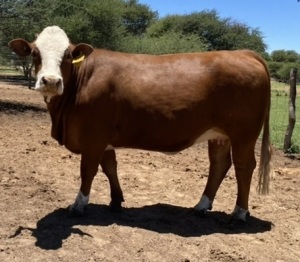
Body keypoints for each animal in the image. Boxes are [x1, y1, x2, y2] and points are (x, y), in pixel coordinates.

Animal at [8, 25, 272, 223]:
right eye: (35, 53)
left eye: (68, 54)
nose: (51, 81)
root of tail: (244, 53)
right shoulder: (104, 138)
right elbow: (110, 167)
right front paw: (116, 201)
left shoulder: (93, 136)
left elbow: (88, 171)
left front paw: (79, 205)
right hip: (219, 134)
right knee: (219, 164)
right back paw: (201, 206)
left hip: (244, 134)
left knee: (244, 166)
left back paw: (239, 213)